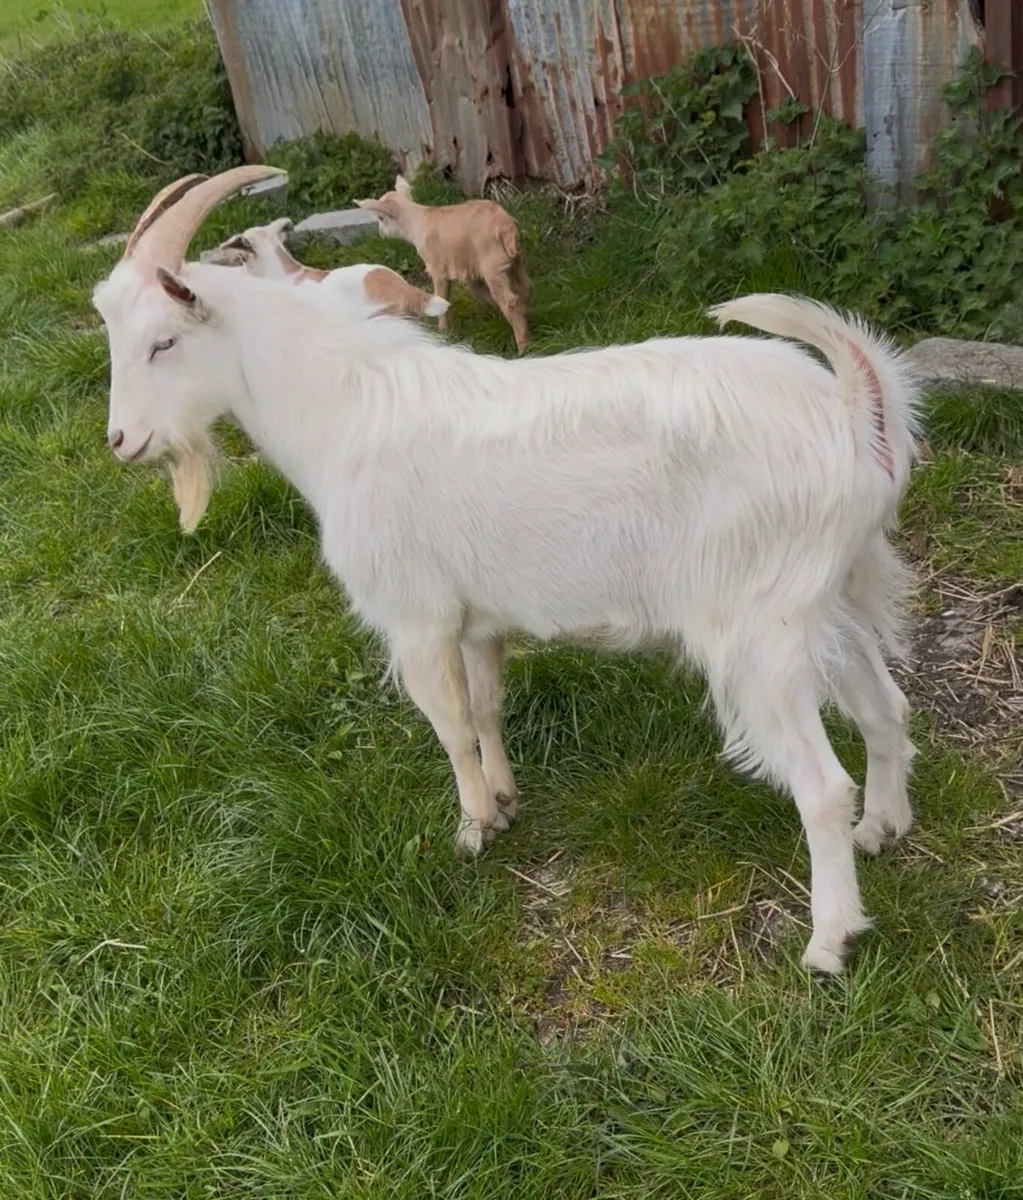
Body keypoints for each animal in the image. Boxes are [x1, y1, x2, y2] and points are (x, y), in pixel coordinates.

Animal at [355, 175, 533, 352]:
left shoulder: (438, 268)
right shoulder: (470, 266)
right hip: (512, 261)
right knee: (525, 287)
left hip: (492, 265)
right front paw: (491, 313)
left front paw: (443, 331)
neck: (417, 221)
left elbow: (442, 298)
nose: (380, 233)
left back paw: (523, 346)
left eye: (380, 218)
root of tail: (506, 227)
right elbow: (478, 292)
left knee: (510, 301)